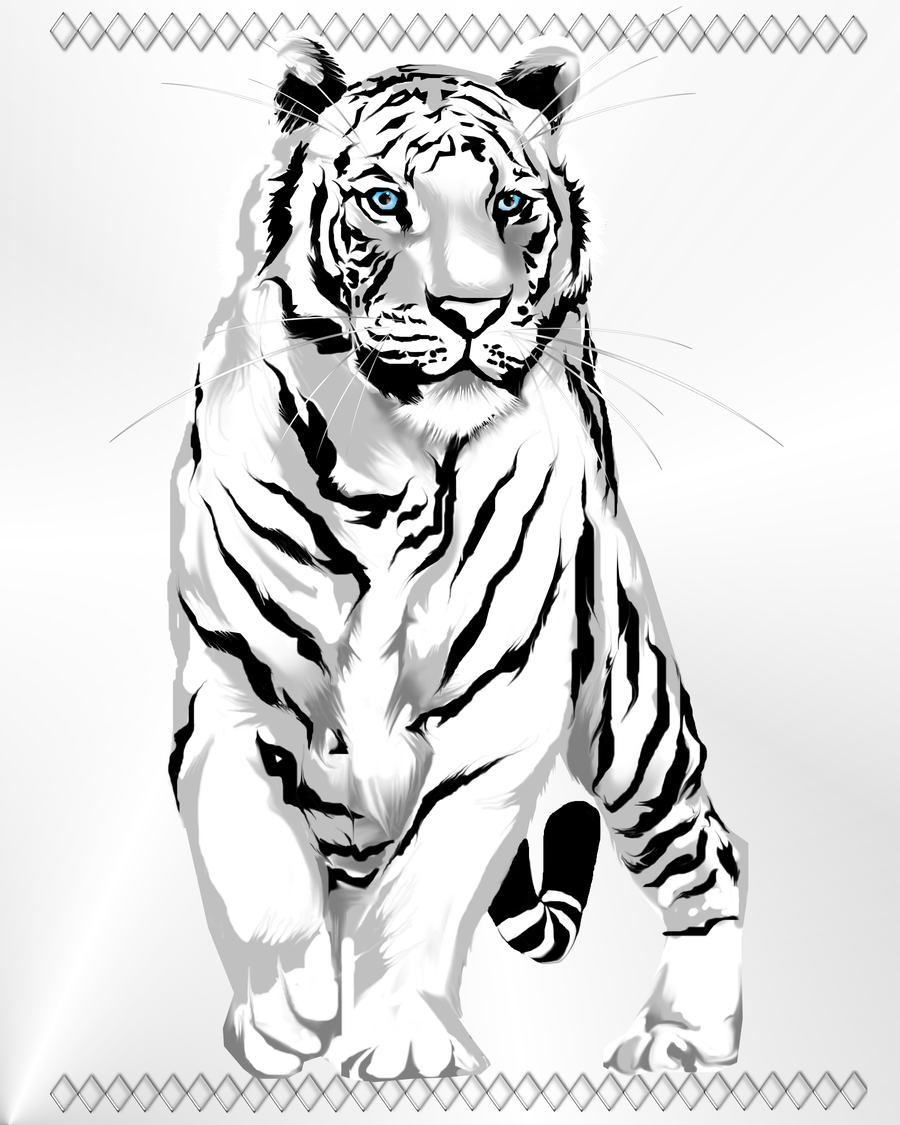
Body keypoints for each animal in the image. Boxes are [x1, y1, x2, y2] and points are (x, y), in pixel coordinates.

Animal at [168, 35, 748, 1081]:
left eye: (513, 206)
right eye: (383, 200)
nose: (472, 309)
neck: (385, 471)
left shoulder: (499, 716)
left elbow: (424, 887)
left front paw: (398, 1042)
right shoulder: (227, 696)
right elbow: (252, 863)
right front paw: (286, 1011)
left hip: (632, 718)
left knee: (708, 851)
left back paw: (686, 1033)